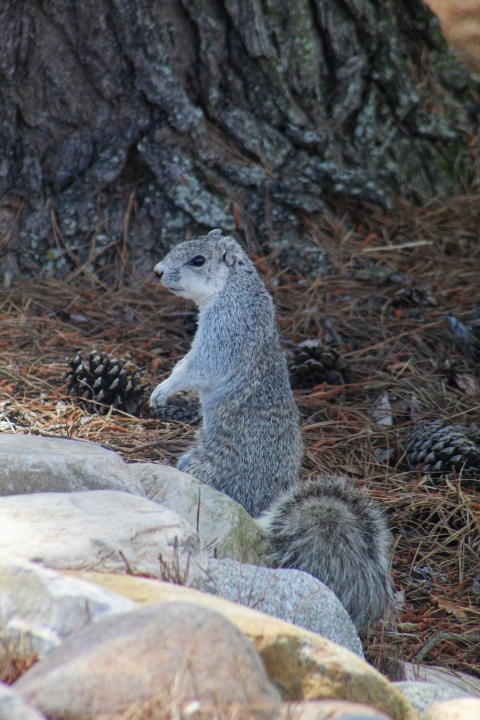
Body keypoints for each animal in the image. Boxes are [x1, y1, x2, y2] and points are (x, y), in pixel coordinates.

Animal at [150, 229, 393, 632]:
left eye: (198, 260)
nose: (156, 271)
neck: (233, 287)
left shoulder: (228, 330)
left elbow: (198, 367)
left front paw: (164, 388)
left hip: (212, 468)